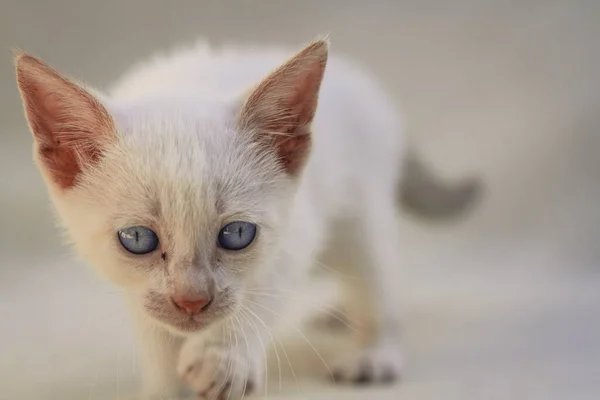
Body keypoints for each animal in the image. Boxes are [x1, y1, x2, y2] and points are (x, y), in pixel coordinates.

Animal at [16, 36, 480, 398]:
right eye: (137, 239)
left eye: (237, 234)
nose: (191, 301)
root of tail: (358, 80)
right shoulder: (134, 289)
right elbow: (155, 333)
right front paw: (166, 385)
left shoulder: (295, 235)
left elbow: (257, 294)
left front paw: (223, 359)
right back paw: (338, 315)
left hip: (359, 215)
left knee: (376, 281)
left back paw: (373, 351)